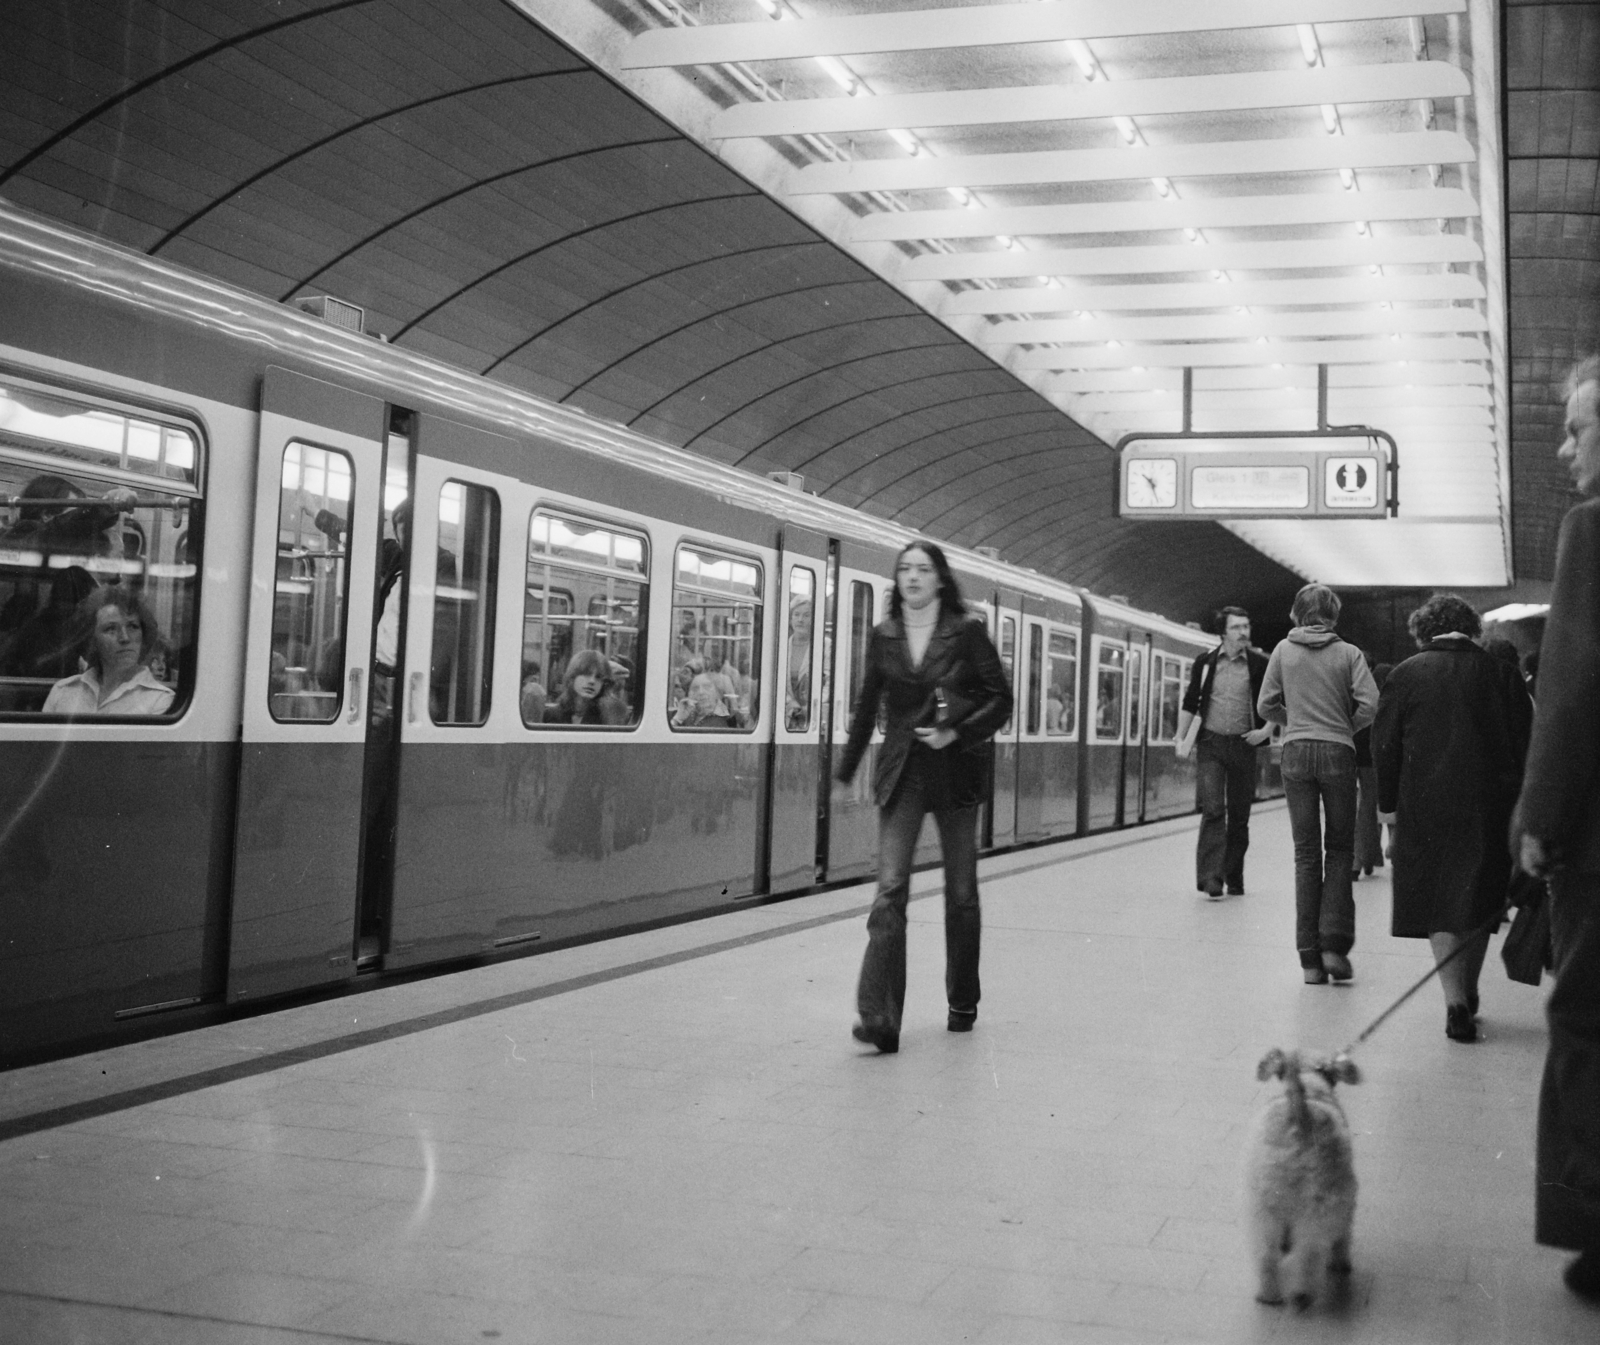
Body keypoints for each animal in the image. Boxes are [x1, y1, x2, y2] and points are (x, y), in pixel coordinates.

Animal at [1241, 1042, 1356, 1305]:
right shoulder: (1345, 1208)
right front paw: (1341, 1263)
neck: (1312, 1086)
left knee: (1266, 1256)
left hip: (1263, 1210)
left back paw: (1269, 1295)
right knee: (1309, 1257)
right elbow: (1343, 1238)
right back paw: (1302, 1294)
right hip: (1317, 1211)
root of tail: (1300, 1119)